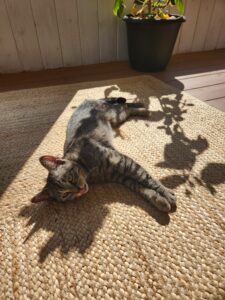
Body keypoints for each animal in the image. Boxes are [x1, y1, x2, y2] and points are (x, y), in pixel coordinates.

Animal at [31, 97, 176, 212]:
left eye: (70, 178)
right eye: (65, 195)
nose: (80, 189)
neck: (91, 173)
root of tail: (87, 100)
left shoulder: (124, 162)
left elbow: (147, 178)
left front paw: (167, 194)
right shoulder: (121, 177)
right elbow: (142, 188)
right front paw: (160, 201)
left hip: (116, 114)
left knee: (125, 105)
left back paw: (144, 108)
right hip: (117, 118)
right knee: (126, 107)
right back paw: (143, 108)